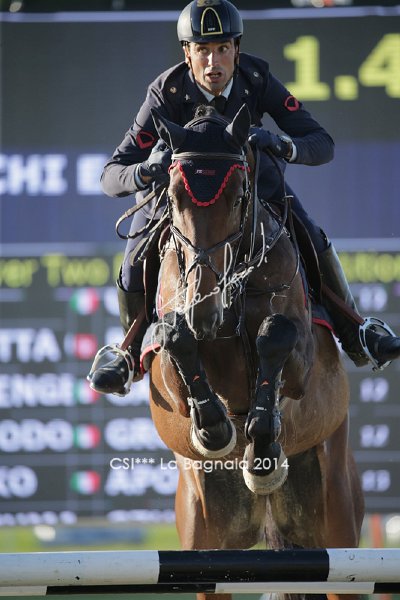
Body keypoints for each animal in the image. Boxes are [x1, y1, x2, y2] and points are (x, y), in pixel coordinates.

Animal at [144, 104, 364, 600]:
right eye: (172, 196)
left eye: (239, 195)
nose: (206, 309)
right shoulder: (167, 374)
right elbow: (175, 336)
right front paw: (214, 428)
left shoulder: (302, 365)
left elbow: (275, 336)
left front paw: (261, 447)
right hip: (202, 539)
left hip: (338, 525)